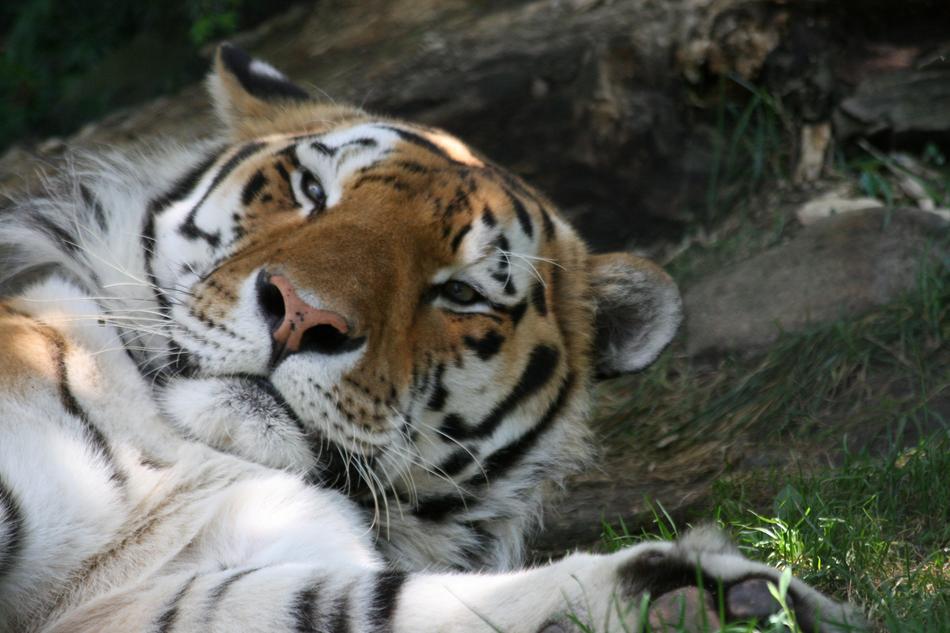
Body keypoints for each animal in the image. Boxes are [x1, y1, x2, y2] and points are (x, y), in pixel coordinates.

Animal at [0, 44, 863, 633]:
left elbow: (371, 605)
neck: (205, 455)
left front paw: (710, 602)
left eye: (461, 292)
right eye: (310, 191)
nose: (301, 315)